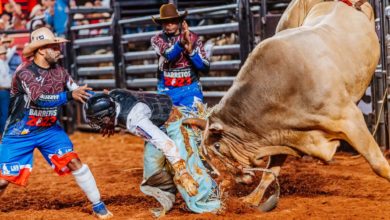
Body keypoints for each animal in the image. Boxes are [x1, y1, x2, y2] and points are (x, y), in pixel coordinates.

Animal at [185, 0, 386, 211]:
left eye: (217, 147)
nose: (238, 181)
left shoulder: (350, 119)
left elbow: (378, 164)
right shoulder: (283, 134)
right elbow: (271, 170)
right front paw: (251, 199)